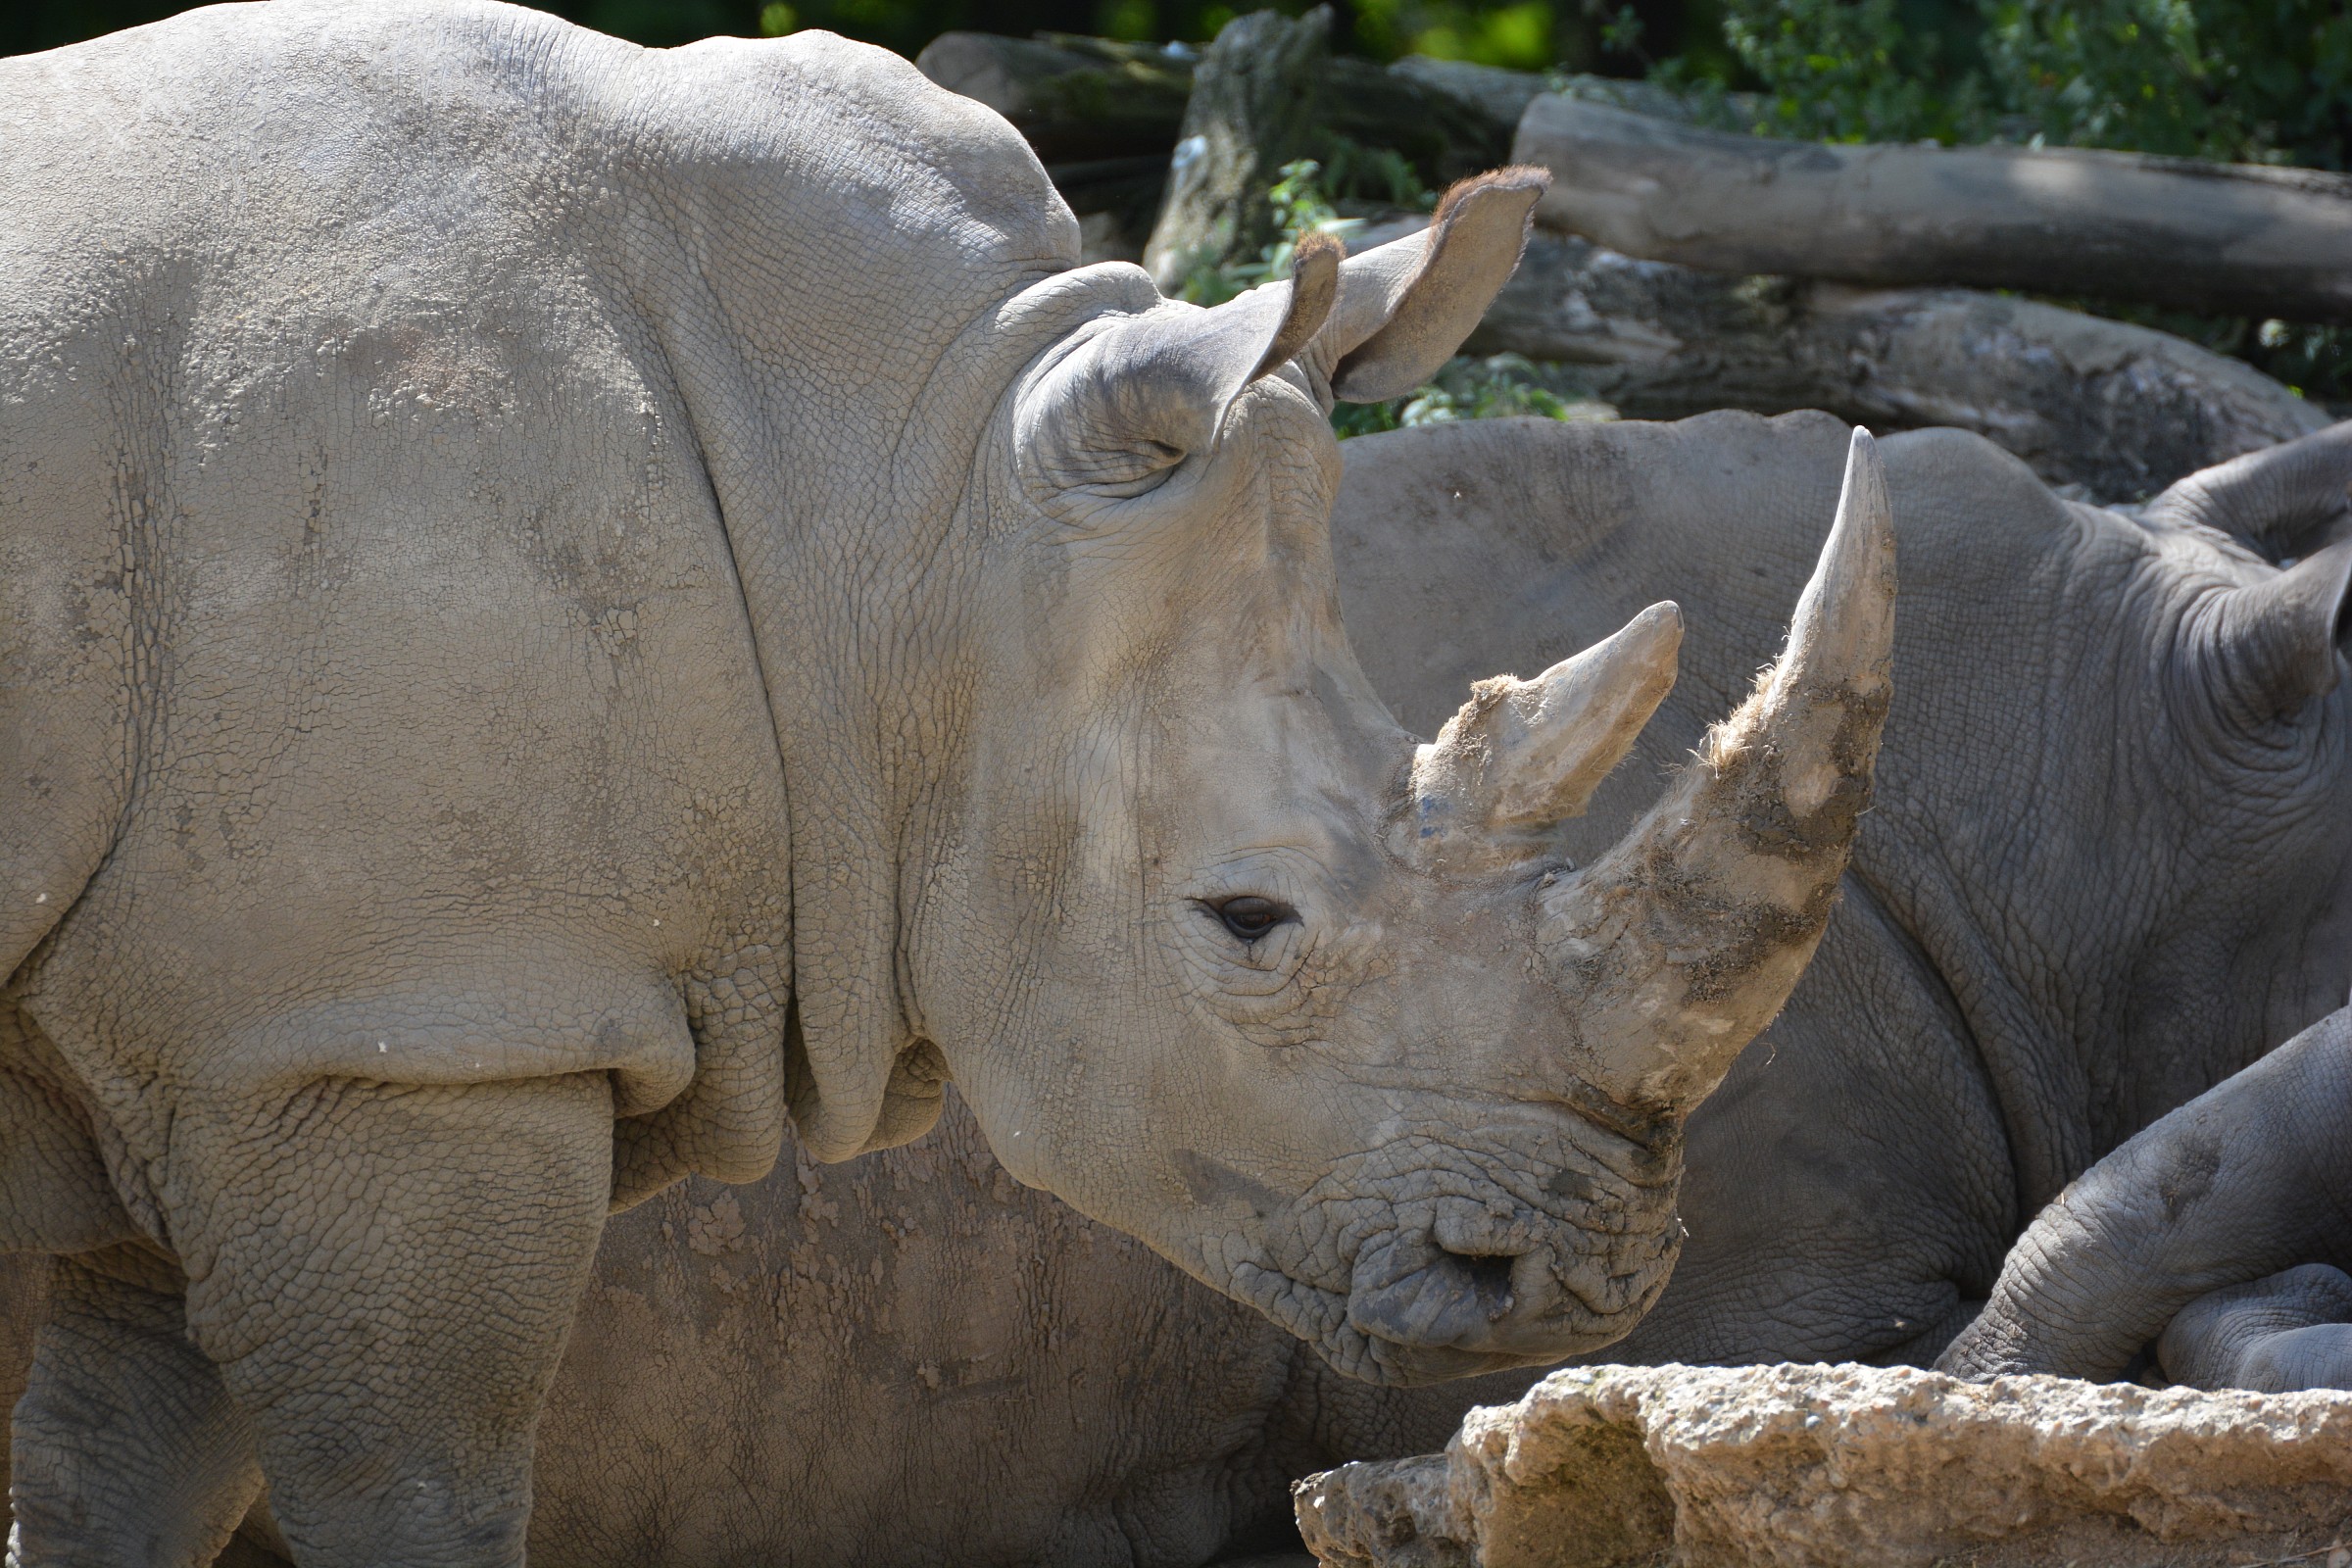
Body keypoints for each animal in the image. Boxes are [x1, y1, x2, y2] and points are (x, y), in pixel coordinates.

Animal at [0, 3, 1898, 1559]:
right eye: (1247, 919)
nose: (1580, 1280)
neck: (902, 479)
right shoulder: (388, 1022)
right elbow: (416, 1474)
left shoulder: (229, 1040)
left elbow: (123, 1474)